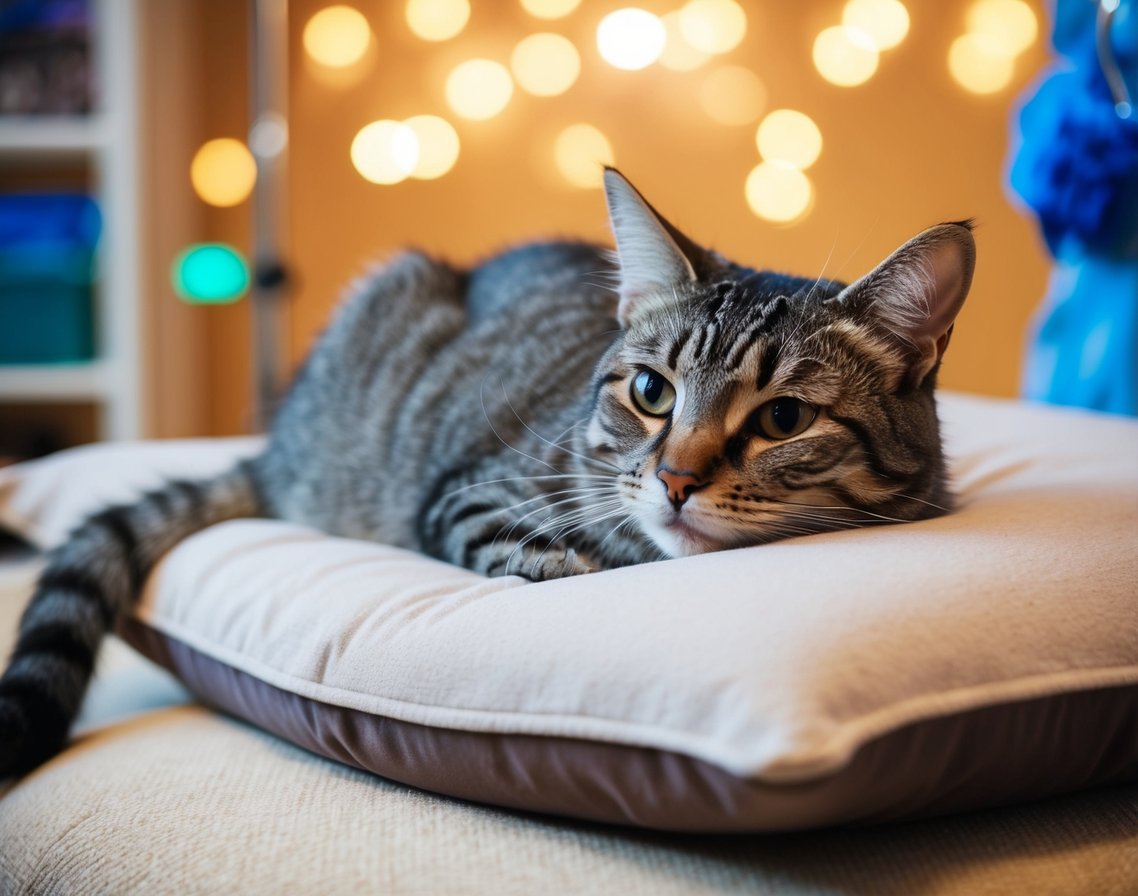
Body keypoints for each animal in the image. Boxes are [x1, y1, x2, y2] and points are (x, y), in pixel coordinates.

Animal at [0, 169, 978, 778]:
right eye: (652, 393)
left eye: (783, 419)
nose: (675, 479)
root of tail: (279, 442)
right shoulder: (469, 491)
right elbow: (536, 555)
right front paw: (574, 562)